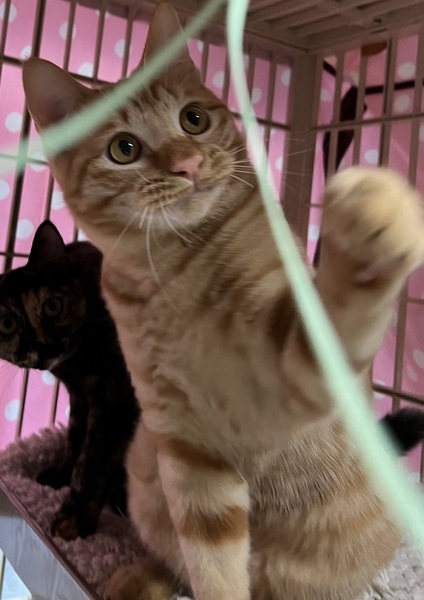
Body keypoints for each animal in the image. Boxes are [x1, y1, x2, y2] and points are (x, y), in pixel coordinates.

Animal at [0, 220, 139, 540]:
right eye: (7, 324)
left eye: (52, 306)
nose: (44, 346)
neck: (75, 366)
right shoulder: (79, 396)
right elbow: (75, 438)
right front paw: (60, 475)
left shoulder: (116, 400)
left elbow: (93, 461)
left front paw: (74, 518)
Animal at [22, 4, 424, 598]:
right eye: (124, 149)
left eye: (193, 119)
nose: (188, 163)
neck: (178, 269)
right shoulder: (189, 448)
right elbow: (211, 561)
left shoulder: (277, 384)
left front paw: (371, 221)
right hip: (145, 466)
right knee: (178, 560)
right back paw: (140, 579)